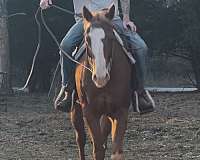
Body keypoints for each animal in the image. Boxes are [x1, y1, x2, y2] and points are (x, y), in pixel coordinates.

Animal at [71, 5, 132, 160]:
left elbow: (116, 151)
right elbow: (97, 149)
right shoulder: (89, 112)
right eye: (87, 39)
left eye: (110, 37)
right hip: (76, 109)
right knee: (80, 139)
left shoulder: (120, 110)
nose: (100, 77)